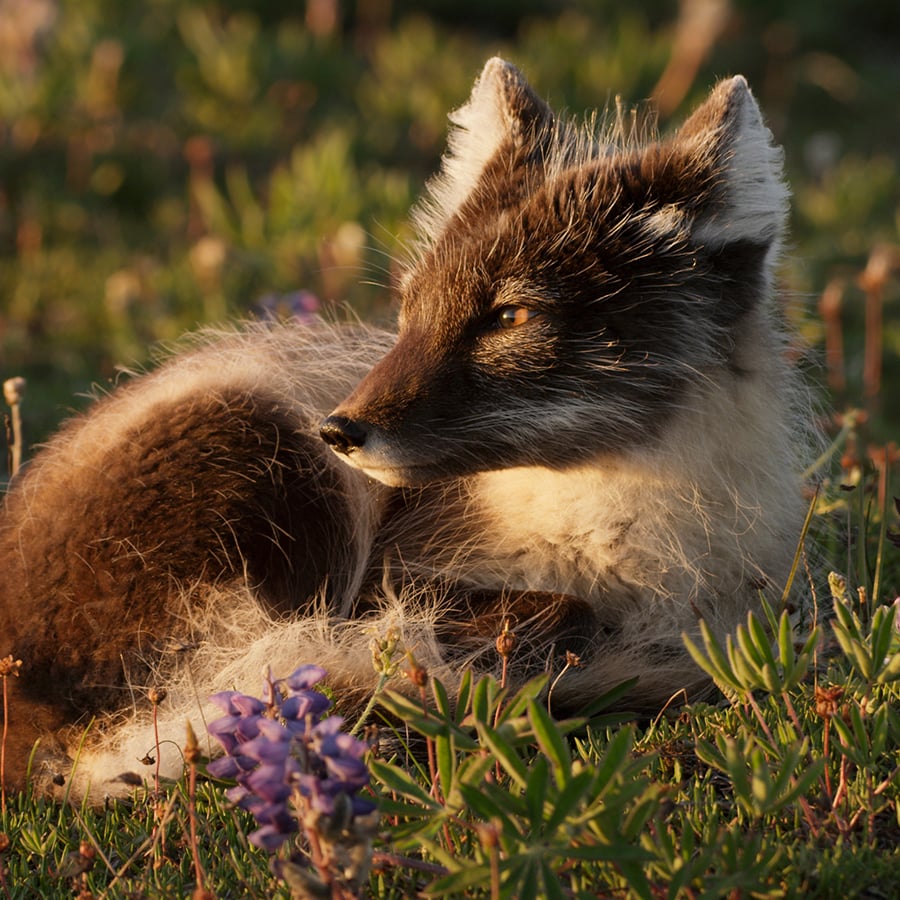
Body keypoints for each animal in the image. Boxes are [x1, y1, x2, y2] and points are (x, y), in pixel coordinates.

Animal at [0, 59, 808, 800]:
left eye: (509, 315)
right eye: (413, 306)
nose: (339, 430)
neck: (617, 533)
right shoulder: (387, 580)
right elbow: (550, 609)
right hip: (274, 462)